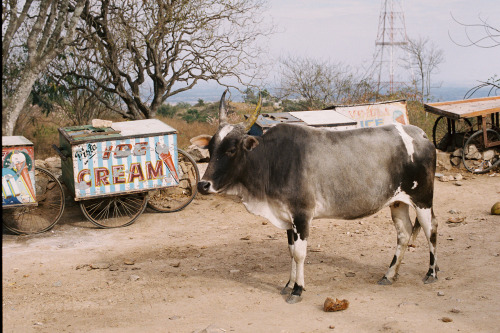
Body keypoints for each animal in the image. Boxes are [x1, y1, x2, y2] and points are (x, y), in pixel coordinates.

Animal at [191, 89, 438, 302]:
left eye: (232, 150)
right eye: (211, 149)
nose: (203, 185)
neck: (272, 159)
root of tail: (420, 133)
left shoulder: (302, 215)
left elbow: (300, 254)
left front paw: (298, 290)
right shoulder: (287, 217)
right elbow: (291, 252)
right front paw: (288, 284)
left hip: (423, 198)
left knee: (431, 229)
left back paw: (431, 273)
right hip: (397, 202)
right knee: (404, 233)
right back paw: (389, 275)